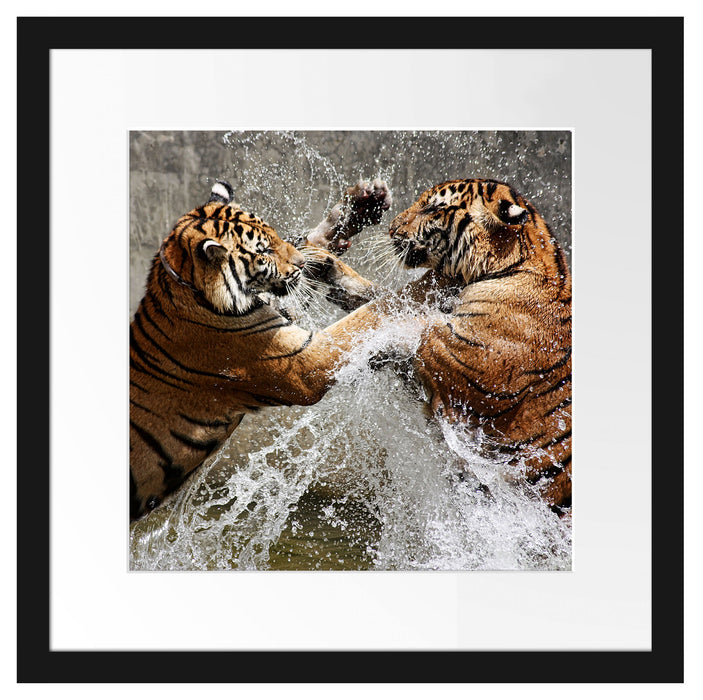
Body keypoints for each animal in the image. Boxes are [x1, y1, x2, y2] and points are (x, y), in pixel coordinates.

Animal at [129, 179, 392, 520]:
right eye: (264, 251)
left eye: (276, 235)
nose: (301, 262)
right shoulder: (302, 364)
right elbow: (364, 318)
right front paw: (417, 295)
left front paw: (360, 205)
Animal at [321, 179, 572, 512]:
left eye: (433, 208)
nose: (391, 228)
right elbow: (388, 300)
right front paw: (328, 268)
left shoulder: (467, 363)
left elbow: (408, 324)